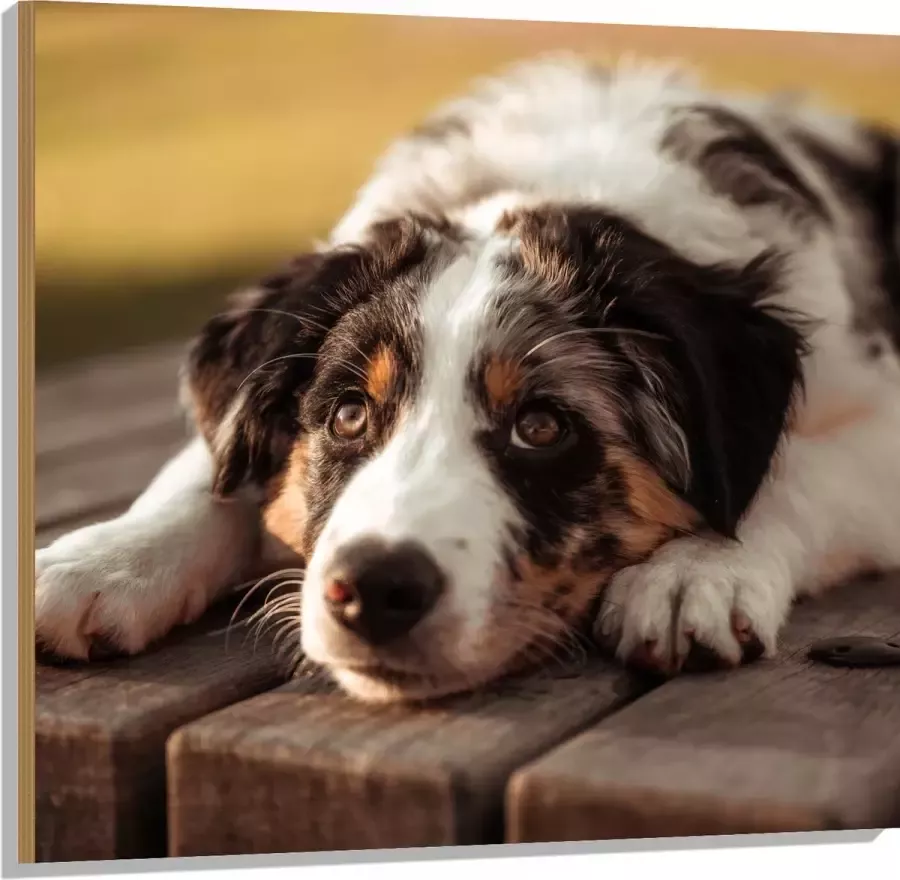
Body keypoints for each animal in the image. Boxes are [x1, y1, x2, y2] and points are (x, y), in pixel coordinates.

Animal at [35, 56, 900, 700]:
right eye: (348, 415)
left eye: (542, 426)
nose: (373, 589)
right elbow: (207, 474)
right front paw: (100, 562)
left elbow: (796, 469)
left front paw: (697, 570)